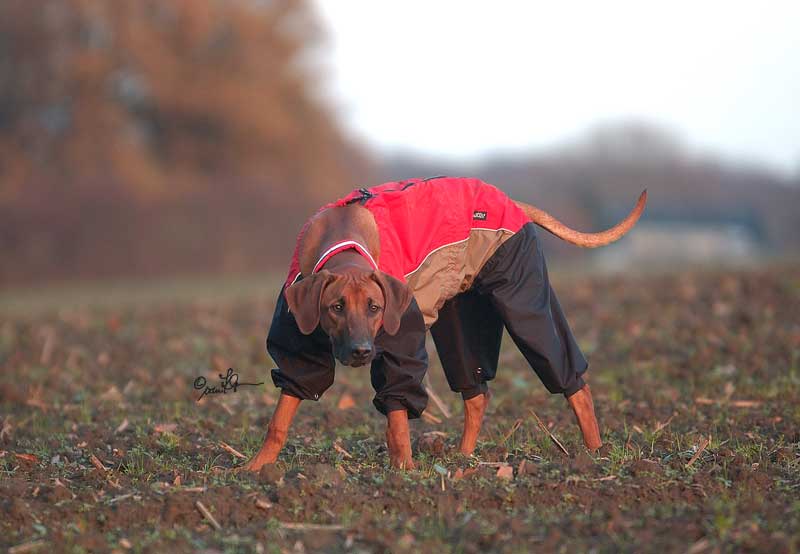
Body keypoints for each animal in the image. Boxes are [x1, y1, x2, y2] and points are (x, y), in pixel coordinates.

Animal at [242, 175, 644, 468]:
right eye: (335, 307)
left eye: (374, 307)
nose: (361, 352)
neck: (342, 240)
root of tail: (511, 202)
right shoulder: (299, 337)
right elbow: (283, 412)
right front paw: (257, 468)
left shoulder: (401, 340)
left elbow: (398, 414)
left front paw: (403, 471)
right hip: (461, 320)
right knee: (477, 392)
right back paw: (463, 458)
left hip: (524, 298)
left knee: (573, 381)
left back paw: (594, 454)